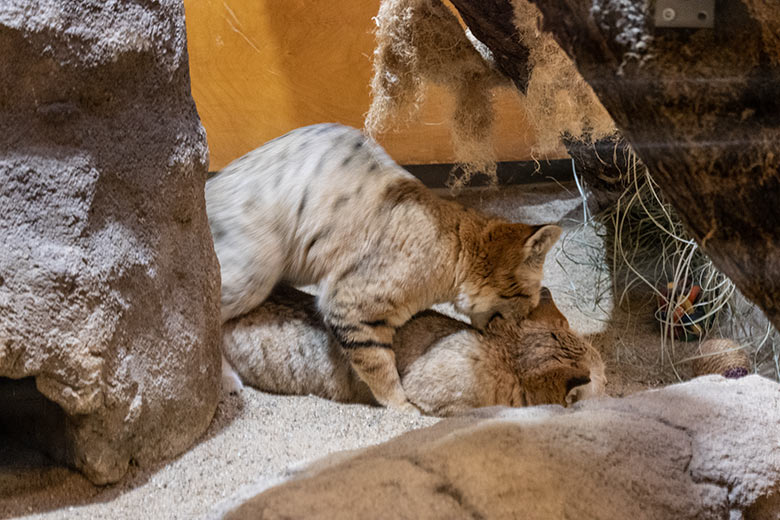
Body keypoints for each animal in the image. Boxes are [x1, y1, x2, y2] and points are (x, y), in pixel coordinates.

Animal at [207, 123, 560, 410]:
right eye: (528, 301)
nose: (527, 317)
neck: (453, 250)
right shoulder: (348, 305)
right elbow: (378, 365)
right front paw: (402, 406)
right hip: (253, 274)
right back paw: (225, 381)